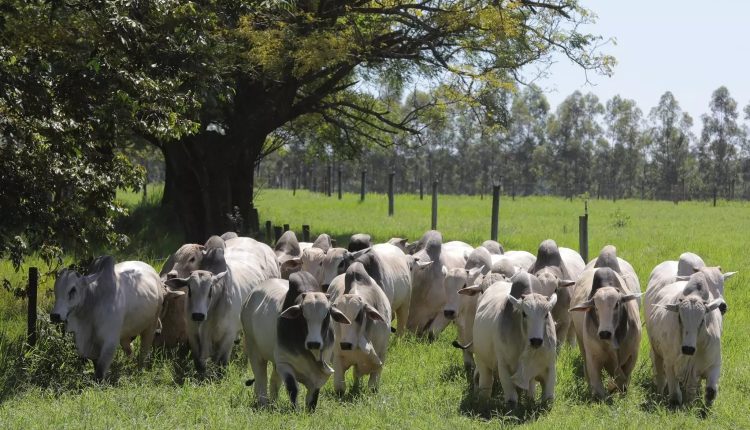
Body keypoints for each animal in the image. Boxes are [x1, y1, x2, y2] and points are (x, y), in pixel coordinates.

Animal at [242, 272, 352, 410]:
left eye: (327, 315)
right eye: (303, 316)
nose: (314, 343)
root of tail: (249, 298)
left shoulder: (319, 371)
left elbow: (313, 395)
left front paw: (309, 411)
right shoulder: (285, 363)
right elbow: (293, 388)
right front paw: (295, 410)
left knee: (273, 381)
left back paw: (273, 402)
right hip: (254, 351)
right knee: (261, 379)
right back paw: (263, 403)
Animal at [328, 262, 394, 394]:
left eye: (359, 315)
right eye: (337, 317)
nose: (346, 344)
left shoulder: (381, 356)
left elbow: (373, 387)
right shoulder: (338, 356)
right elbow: (339, 387)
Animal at [476, 272, 560, 406]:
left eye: (546, 314)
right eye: (524, 314)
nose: (536, 340)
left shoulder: (550, 366)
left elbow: (548, 398)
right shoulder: (504, 366)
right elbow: (511, 399)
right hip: (481, 361)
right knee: (486, 383)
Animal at [648, 272, 724, 406]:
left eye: (702, 320)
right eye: (680, 317)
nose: (688, 349)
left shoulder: (714, 364)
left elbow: (711, 391)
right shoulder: (670, 364)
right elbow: (674, 396)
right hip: (656, 353)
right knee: (660, 378)